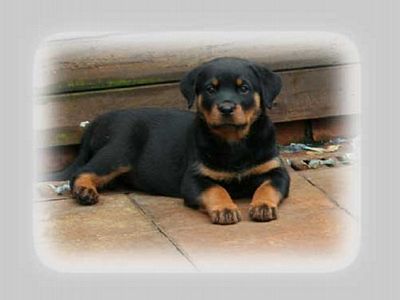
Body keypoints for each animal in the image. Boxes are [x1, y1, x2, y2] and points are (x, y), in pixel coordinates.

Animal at [53, 56, 290, 225]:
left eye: (244, 88)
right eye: (210, 89)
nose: (226, 108)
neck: (234, 142)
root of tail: (97, 121)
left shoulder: (275, 170)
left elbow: (268, 187)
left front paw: (263, 206)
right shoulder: (194, 178)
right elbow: (215, 189)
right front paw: (225, 209)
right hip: (119, 150)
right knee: (81, 172)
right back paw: (85, 191)